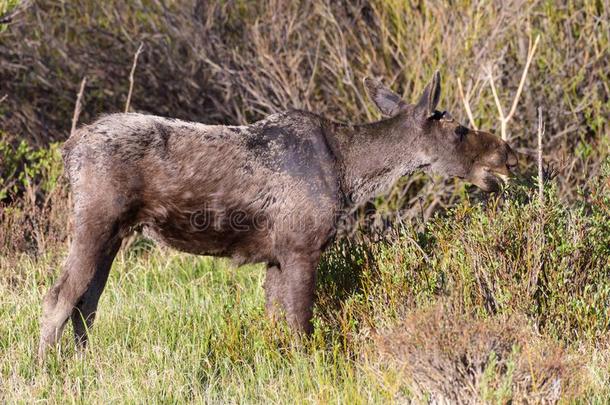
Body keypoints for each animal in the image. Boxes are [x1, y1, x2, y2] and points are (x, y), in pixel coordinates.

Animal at [38, 72, 516, 356]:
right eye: (460, 130)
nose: (508, 154)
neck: (351, 174)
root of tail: (68, 149)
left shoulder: (274, 255)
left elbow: (275, 323)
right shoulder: (301, 247)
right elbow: (302, 326)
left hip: (114, 234)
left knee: (88, 303)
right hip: (94, 221)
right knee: (60, 295)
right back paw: (47, 369)